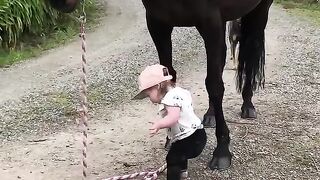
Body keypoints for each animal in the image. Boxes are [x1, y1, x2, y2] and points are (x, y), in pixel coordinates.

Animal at [50, 0, 272, 172]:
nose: (58, 2)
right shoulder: (159, 24)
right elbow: (168, 75)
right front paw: (172, 135)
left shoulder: (210, 23)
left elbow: (215, 84)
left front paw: (222, 151)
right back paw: (210, 116)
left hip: (258, 12)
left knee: (251, 50)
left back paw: (248, 105)